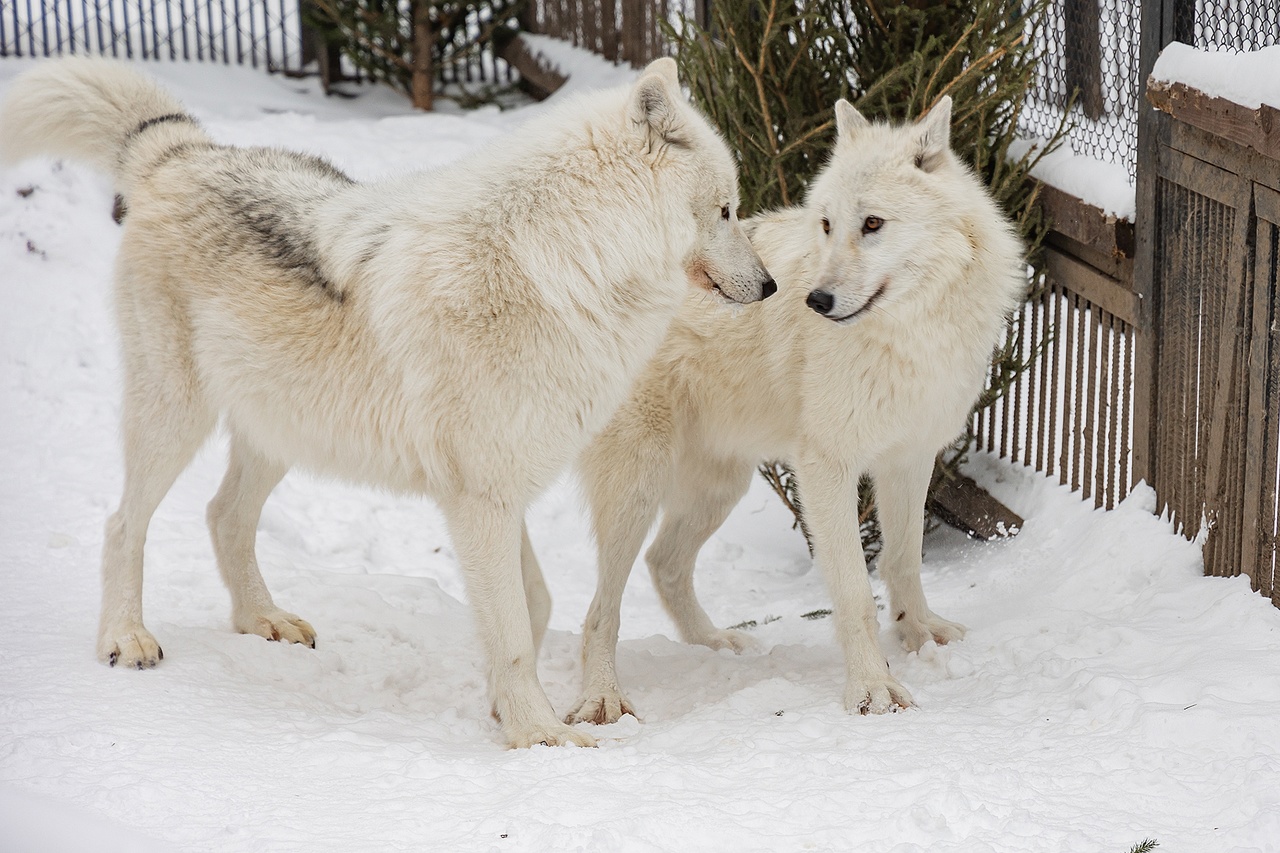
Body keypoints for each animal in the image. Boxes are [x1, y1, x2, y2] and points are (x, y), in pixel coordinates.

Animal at [2, 56, 778, 742]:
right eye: (727, 209)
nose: (772, 286)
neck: (563, 265)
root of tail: (183, 150)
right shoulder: (480, 497)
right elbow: (515, 629)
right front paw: (541, 736)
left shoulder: (501, 489)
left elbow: (532, 604)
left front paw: (507, 710)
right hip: (176, 417)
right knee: (121, 523)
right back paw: (126, 637)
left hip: (283, 430)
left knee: (223, 515)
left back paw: (263, 621)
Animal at [565, 96, 1024, 722]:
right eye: (827, 224)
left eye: (872, 224)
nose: (815, 300)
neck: (909, 335)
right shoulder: (826, 467)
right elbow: (855, 593)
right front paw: (874, 691)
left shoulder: (909, 459)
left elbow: (903, 560)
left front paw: (920, 636)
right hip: (638, 489)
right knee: (599, 609)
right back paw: (603, 698)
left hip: (719, 488)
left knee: (664, 563)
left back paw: (718, 645)